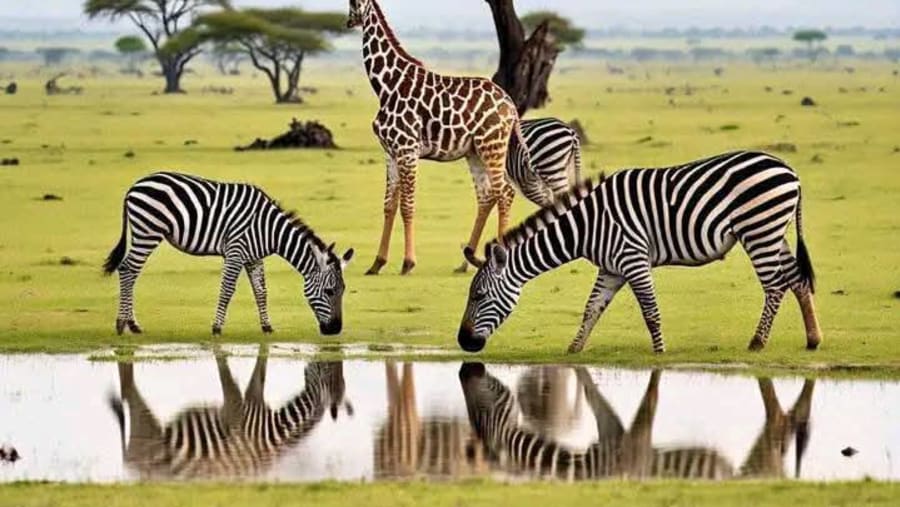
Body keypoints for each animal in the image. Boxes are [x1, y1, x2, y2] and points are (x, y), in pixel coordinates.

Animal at [103, 171, 354, 336]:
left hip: (144, 233)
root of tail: (135, 186)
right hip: (148, 231)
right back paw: (121, 324)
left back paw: (132, 324)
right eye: (330, 291)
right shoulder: (236, 251)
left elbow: (261, 292)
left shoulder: (254, 257)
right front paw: (217, 327)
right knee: (127, 269)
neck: (269, 229)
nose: (335, 331)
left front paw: (267, 326)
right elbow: (227, 290)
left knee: (132, 272)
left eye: (343, 291)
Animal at [108, 345, 352, 480]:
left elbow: (259, 375)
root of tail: (133, 468)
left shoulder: (255, 402)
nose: (311, 363)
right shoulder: (240, 411)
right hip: (146, 431)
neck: (271, 430)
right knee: (130, 397)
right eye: (329, 372)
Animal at [457, 150, 823, 354]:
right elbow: (591, 309)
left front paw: (659, 352)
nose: (463, 342)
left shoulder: (632, 258)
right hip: (775, 232)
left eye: (478, 295)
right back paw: (813, 338)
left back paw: (758, 342)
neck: (587, 226)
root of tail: (789, 171)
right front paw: (574, 348)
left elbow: (650, 310)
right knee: (796, 280)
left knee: (775, 285)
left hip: (759, 229)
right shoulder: (611, 268)